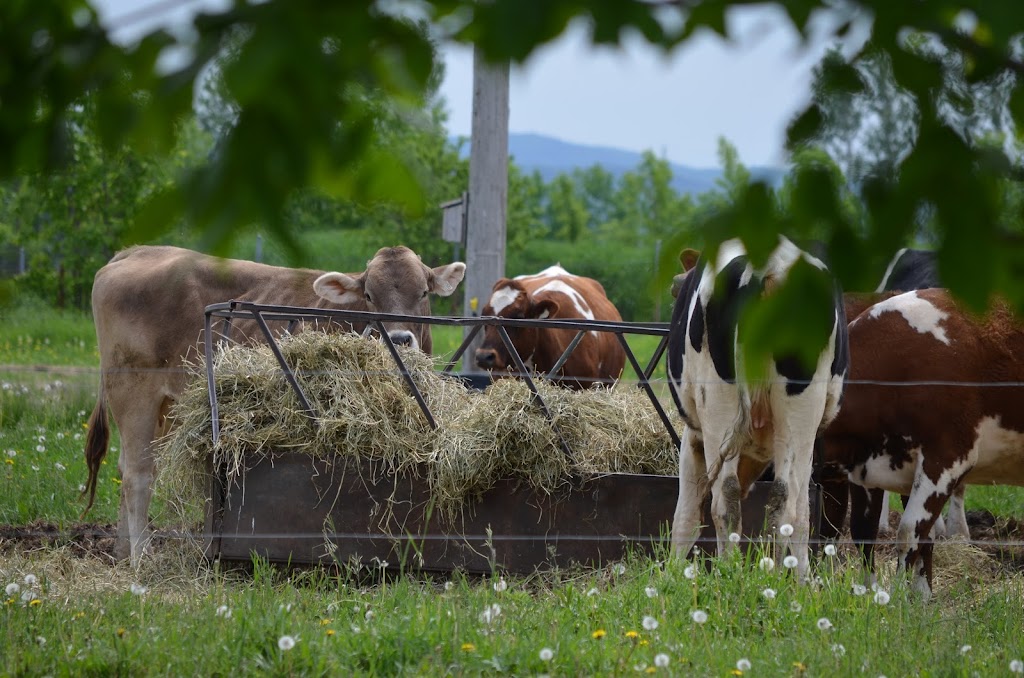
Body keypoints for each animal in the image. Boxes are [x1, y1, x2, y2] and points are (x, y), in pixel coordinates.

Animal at [81, 246, 466, 565]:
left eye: (424, 292)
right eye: (369, 295)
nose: (399, 340)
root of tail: (137, 251)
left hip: (167, 405)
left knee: (127, 466)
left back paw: (121, 553)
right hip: (132, 388)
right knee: (138, 473)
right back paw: (142, 557)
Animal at [663, 238, 847, 577]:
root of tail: (770, 264)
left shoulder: (693, 437)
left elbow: (686, 515)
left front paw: (670, 573)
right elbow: (803, 510)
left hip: (718, 407)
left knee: (725, 500)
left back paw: (728, 573)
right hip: (800, 410)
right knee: (786, 503)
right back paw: (782, 578)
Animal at [823, 288, 1024, 598]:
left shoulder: (946, 459)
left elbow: (909, 534)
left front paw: (896, 600)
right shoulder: (870, 467)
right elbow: (866, 532)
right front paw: (888, 595)